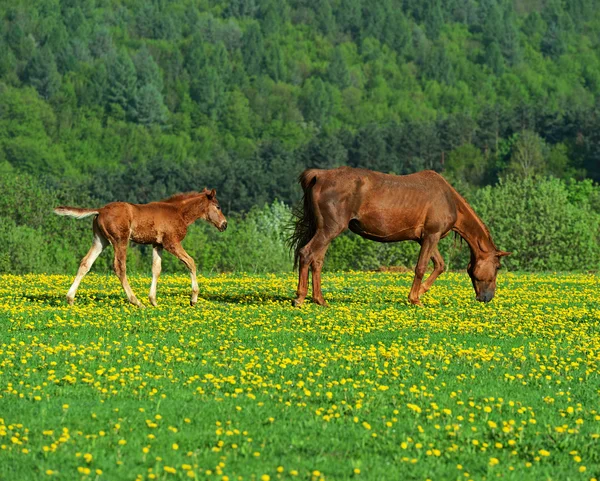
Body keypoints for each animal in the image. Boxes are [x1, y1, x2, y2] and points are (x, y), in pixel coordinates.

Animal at [54, 188, 227, 306]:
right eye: (218, 206)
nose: (224, 225)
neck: (179, 213)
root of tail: (100, 210)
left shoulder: (157, 244)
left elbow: (156, 269)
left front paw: (153, 301)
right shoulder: (171, 243)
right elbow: (191, 262)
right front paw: (193, 299)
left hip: (100, 240)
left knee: (85, 263)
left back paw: (70, 298)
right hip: (120, 240)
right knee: (119, 268)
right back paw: (136, 301)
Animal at [290, 167, 510, 306]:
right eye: (497, 267)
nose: (487, 298)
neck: (448, 199)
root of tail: (319, 175)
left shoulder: (425, 238)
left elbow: (439, 265)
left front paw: (420, 292)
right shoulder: (432, 236)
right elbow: (421, 267)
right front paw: (415, 299)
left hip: (325, 231)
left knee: (317, 261)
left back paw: (320, 300)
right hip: (329, 230)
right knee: (307, 254)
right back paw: (300, 298)